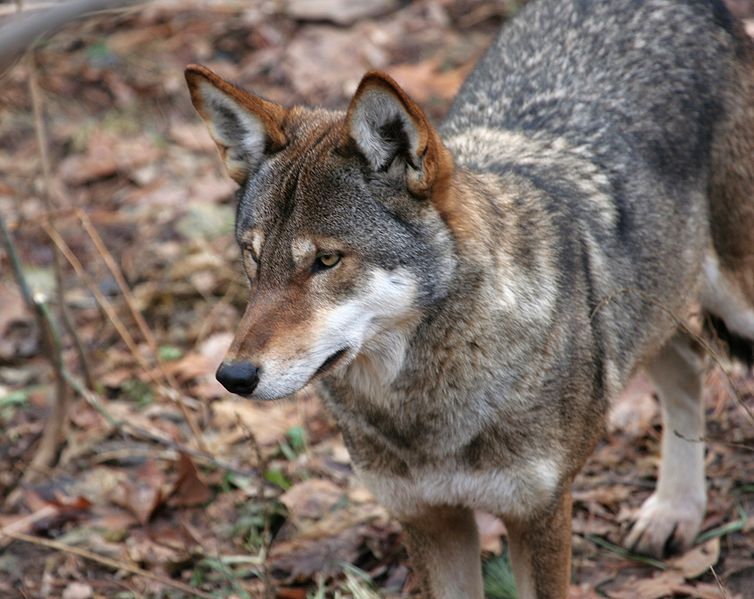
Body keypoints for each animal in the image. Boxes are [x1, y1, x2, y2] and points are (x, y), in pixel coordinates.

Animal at [185, 0, 754, 596]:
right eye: (253, 256)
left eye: (327, 261)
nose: (233, 376)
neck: (424, 411)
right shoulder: (429, 521)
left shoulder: (539, 515)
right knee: (687, 363)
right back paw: (675, 511)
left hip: (732, 299)